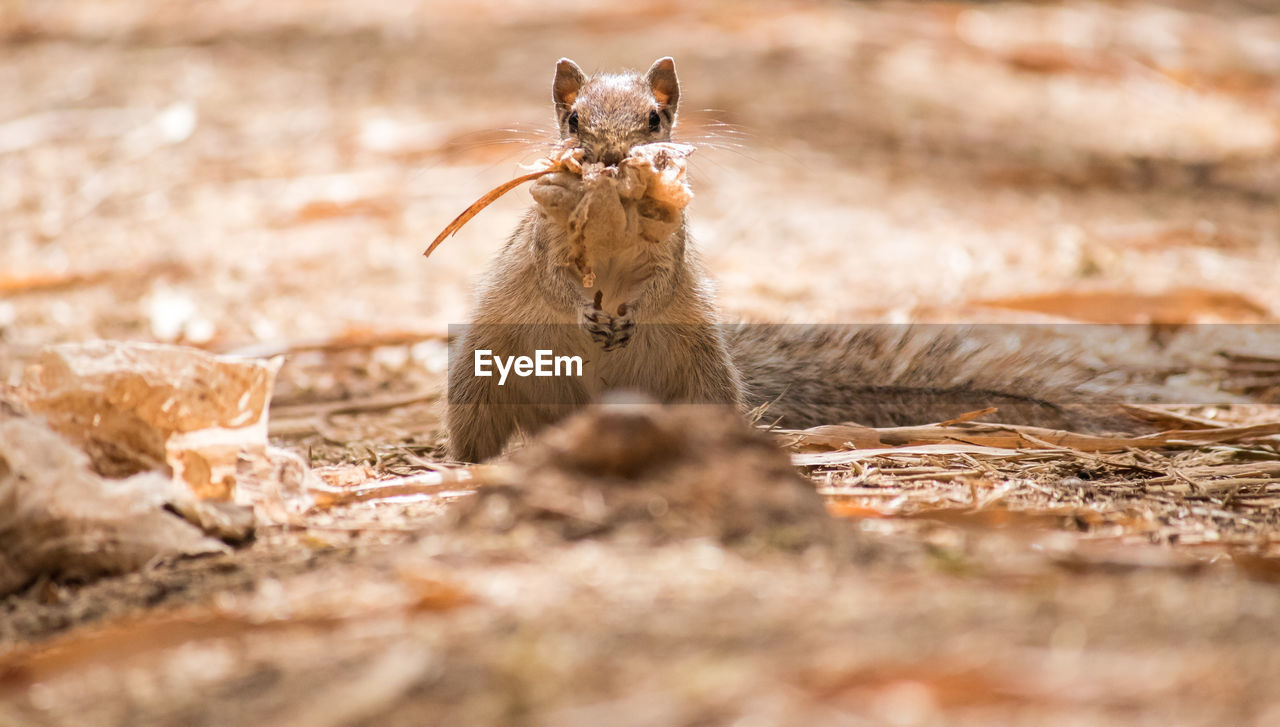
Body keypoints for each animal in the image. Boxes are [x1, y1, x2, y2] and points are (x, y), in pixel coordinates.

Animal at [445, 58, 1105, 465]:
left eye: (655, 118)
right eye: (574, 118)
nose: (608, 156)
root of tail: (581, 418)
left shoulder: (672, 249)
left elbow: (658, 284)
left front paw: (627, 313)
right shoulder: (545, 242)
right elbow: (556, 279)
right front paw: (586, 311)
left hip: (703, 379)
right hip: (480, 376)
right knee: (477, 435)